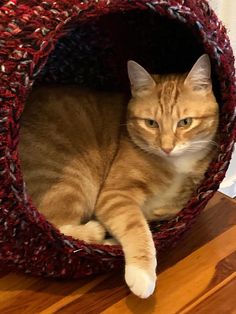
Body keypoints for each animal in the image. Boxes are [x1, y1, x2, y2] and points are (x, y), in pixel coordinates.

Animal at [19, 55, 219, 298]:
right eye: (151, 123)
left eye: (185, 122)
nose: (166, 148)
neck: (176, 164)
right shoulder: (115, 195)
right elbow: (137, 228)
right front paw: (142, 274)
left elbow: (170, 207)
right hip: (72, 182)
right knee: (58, 229)